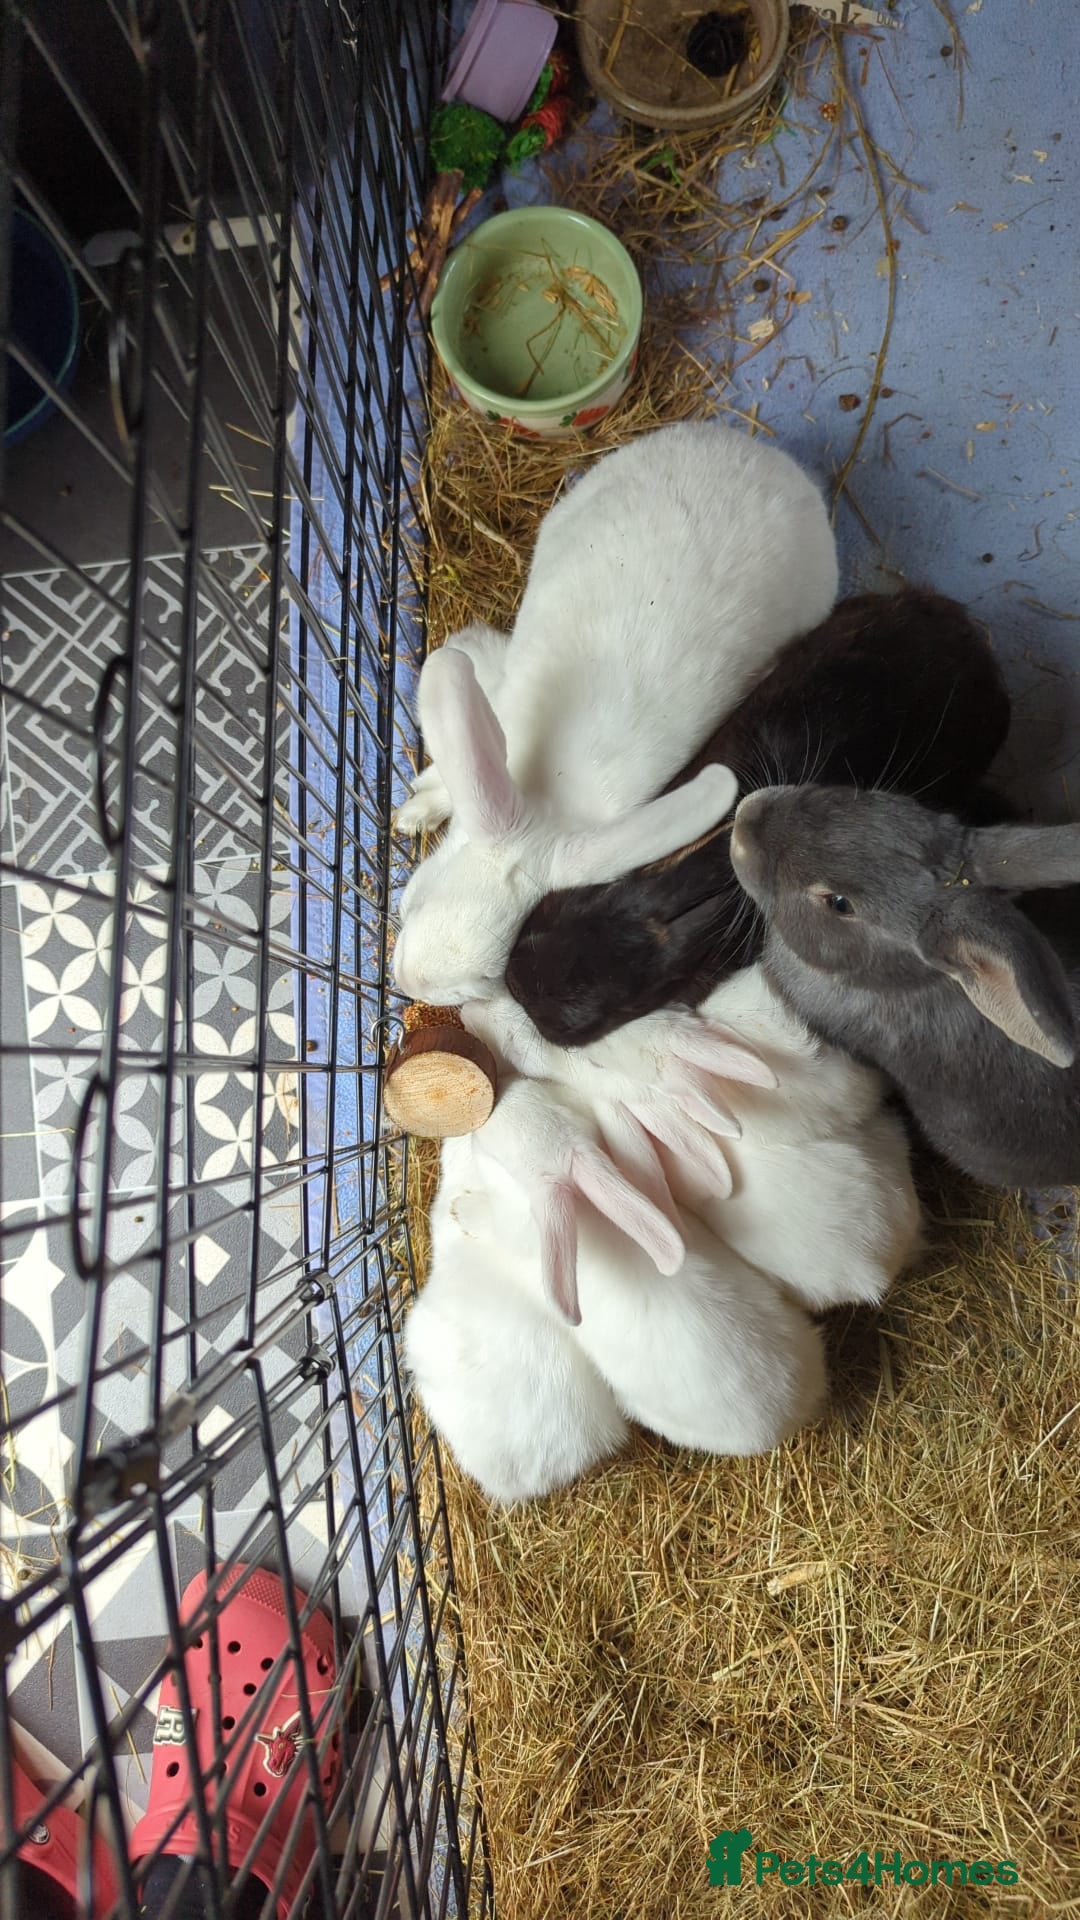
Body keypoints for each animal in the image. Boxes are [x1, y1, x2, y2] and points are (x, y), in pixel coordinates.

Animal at [392, 420, 838, 1005]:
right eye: (413, 900)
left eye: (483, 982)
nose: (405, 980)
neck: (546, 797)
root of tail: (767, 456)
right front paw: (413, 813)